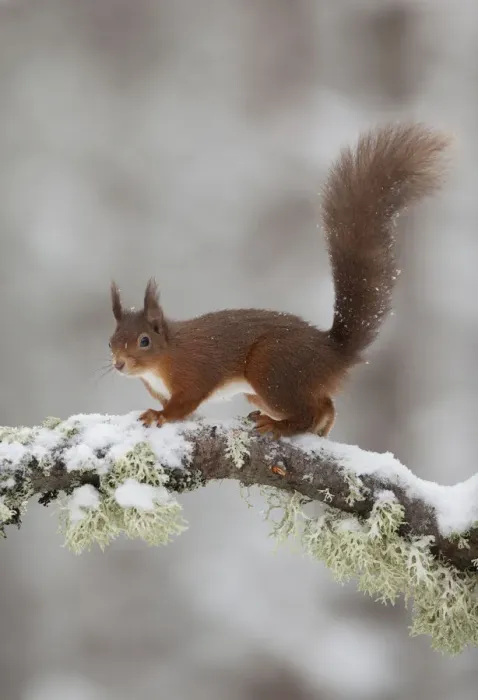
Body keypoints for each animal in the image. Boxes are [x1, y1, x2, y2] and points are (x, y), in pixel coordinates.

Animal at [109, 123, 449, 438]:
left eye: (144, 341)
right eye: (110, 342)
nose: (118, 364)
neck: (165, 356)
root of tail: (331, 353)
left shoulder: (195, 372)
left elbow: (184, 403)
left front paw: (159, 415)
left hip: (271, 368)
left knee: (310, 410)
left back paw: (279, 426)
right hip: (264, 388)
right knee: (326, 404)